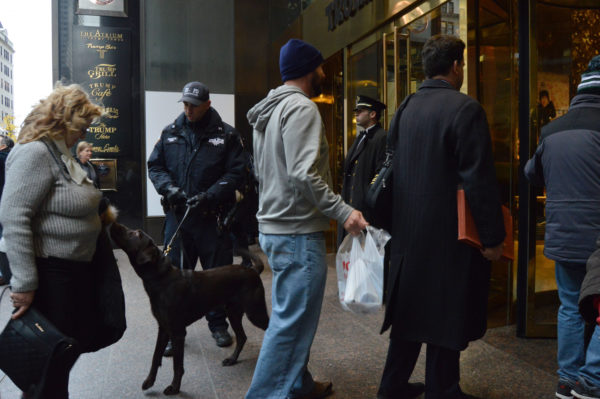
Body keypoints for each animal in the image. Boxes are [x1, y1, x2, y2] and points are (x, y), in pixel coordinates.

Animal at [109, 223, 270, 396]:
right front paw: (149, 381)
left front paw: (174, 387)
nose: (113, 223)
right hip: (233, 313)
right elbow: (155, 357)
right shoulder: (163, 328)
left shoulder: (178, 332)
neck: (161, 279)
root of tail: (253, 270)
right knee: (242, 337)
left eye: (137, 234)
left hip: (255, 312)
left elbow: (177, 365)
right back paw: (232, 359)